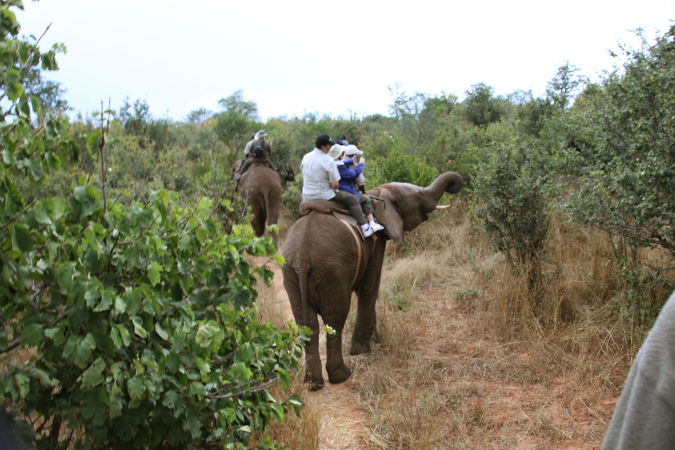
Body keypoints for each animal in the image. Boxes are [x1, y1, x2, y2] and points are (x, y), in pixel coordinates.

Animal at [282, 171, 464, 388]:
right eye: (419, 197)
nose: (455, 186)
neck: (377, 194)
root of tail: (302, 257)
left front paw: (374, 337)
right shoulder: (376, 242)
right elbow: (370, 288)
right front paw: (363, 350)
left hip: (290, 272)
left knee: (306, 323)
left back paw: (313, 383)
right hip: (333, 270)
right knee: (334, 318)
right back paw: (341, 376)